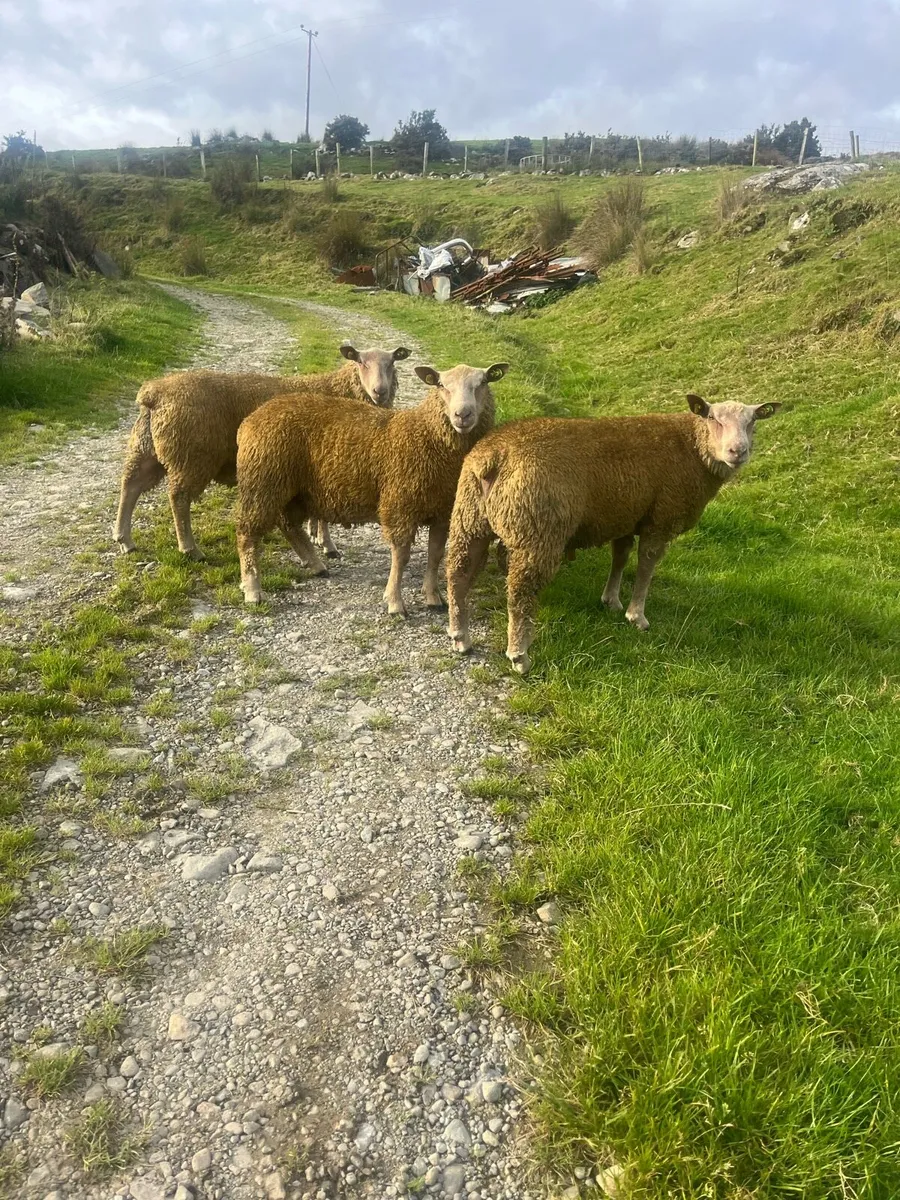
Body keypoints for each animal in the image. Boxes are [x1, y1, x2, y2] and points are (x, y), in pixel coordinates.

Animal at [112, 342, 411, 560]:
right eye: (361, 362)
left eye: (391, 363)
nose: (380, 391)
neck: (338, 389)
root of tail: (153, 393)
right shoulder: (329, 460)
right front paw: (328, 544)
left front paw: (315, 534)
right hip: (192, 455)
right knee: (178, 498)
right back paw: (190, 549)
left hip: (148, 447)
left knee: (131, 485)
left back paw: (124, 539)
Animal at [234, 362, 508, 610]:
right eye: (441, 385)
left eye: (483, 382)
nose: (463, 415)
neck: (427, 436)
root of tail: (250, 421)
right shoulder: (400, 505)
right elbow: (401, 556)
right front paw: (395, 602)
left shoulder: (441, 510)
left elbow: (435, 555)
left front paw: (432, 597)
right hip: (262, 482)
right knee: (247, 533)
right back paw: (253, 589)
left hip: (292, 489)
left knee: (288, 525)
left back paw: (315, 565)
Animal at [445, 394, 781, 674]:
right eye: (713, 418)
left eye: (753, 421)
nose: (738, 451)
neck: (693, 449)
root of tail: (495, 456)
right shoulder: (661, 519)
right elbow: (646, 565)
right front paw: (637, 616)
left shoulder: (627, 516)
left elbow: (620, 557)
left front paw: (611, 600)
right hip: (538, 529)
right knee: (520, 593)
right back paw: (519, 655)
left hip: (470, 517)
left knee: (458, 574)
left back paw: (460, 636)